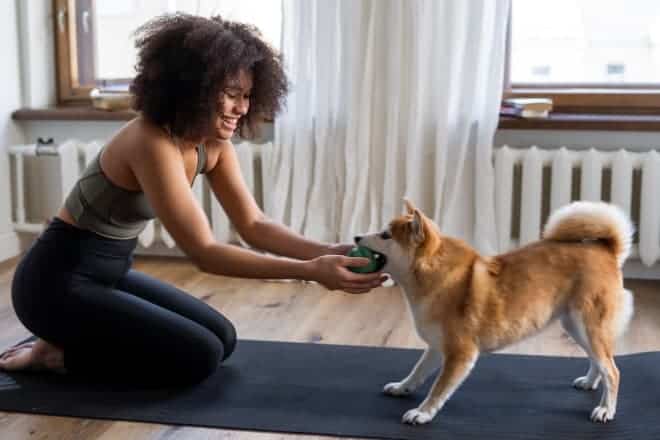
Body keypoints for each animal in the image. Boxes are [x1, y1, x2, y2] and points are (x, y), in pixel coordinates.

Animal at [356, 200, 636, 426]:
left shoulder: (460, 353)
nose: (357, 237)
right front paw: (402, 388)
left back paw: (605, 410)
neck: (432, 276)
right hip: (576, 327)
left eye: (385, 235)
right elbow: (418, 371)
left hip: (588, 325)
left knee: (613, 371)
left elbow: (438, 388)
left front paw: (422, 413)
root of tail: (607, 250)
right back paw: (590, 383)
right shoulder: (437, 346)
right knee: (599, 362)